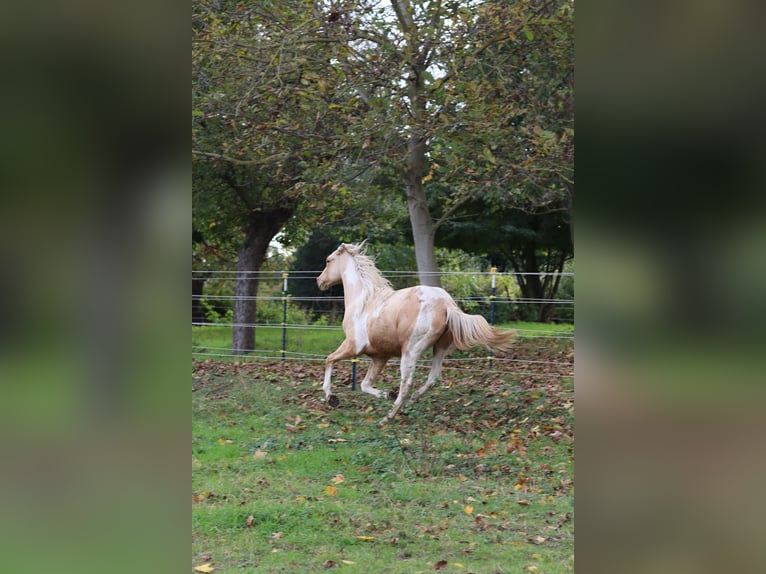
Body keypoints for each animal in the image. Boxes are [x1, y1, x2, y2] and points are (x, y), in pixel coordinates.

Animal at [318, 241, 516, 426]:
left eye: (328, 260)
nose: (319, 281)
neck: (364, 301)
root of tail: (446, 304)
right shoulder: (380, 356)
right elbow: (364, 385)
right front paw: (388, 394)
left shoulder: (353, 346)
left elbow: (329, 360)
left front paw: (331, 397)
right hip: (439, 348)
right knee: (433, 378)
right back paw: (410, 401)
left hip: (410, 352)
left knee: (406, 383)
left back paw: (388, 417)